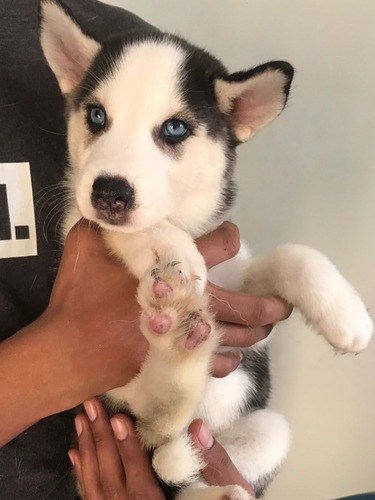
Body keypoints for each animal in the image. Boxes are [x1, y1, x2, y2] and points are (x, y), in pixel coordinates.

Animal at [39, 1, 374, 498]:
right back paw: (178, 345)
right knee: (156, 425)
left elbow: (293, 255)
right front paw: (169, 247)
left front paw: (347, 317)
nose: (109, 194)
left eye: (175, 128)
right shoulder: (77, 221)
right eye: (97, 116)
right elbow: (124, 230)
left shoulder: (243, 288)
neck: (187, 222)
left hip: (270, 427)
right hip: (109, 399)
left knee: (176, 455)